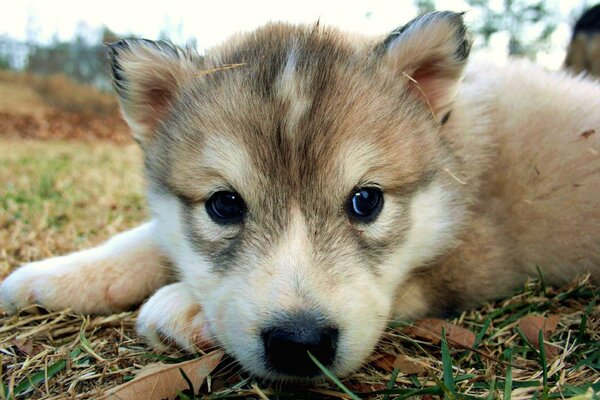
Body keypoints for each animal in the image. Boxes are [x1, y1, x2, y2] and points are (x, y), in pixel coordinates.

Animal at [1, 11, 600, 382]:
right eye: (224, 205)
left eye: (367, 201)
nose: (299, 342)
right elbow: (150, 235)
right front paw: (59, 274)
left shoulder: (480, 251)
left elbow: (413, 281)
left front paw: (187, 303)